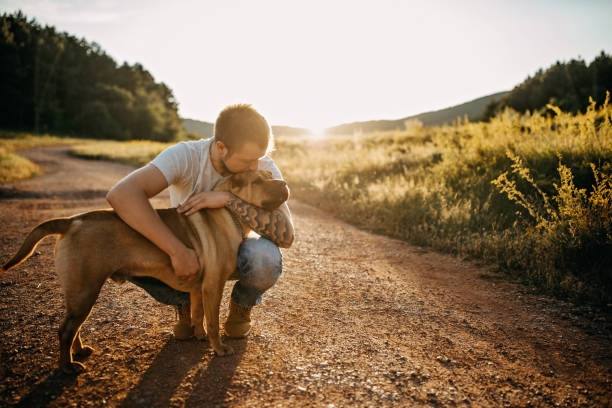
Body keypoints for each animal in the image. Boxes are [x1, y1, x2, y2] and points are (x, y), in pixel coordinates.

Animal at [0, 169, 290, 372]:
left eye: (270, 176)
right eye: (260, 181)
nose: (285, 183)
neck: (230, 214)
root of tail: (72, 221)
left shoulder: (199, 288)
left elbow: (198, 315)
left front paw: (198, 335)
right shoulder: (212, 286)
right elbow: (213, 322)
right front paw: (218, 347)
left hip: (80, 295)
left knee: (73, 327)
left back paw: (78, 352)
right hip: (85, 290)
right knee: (64, 330)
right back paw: (67, 367)